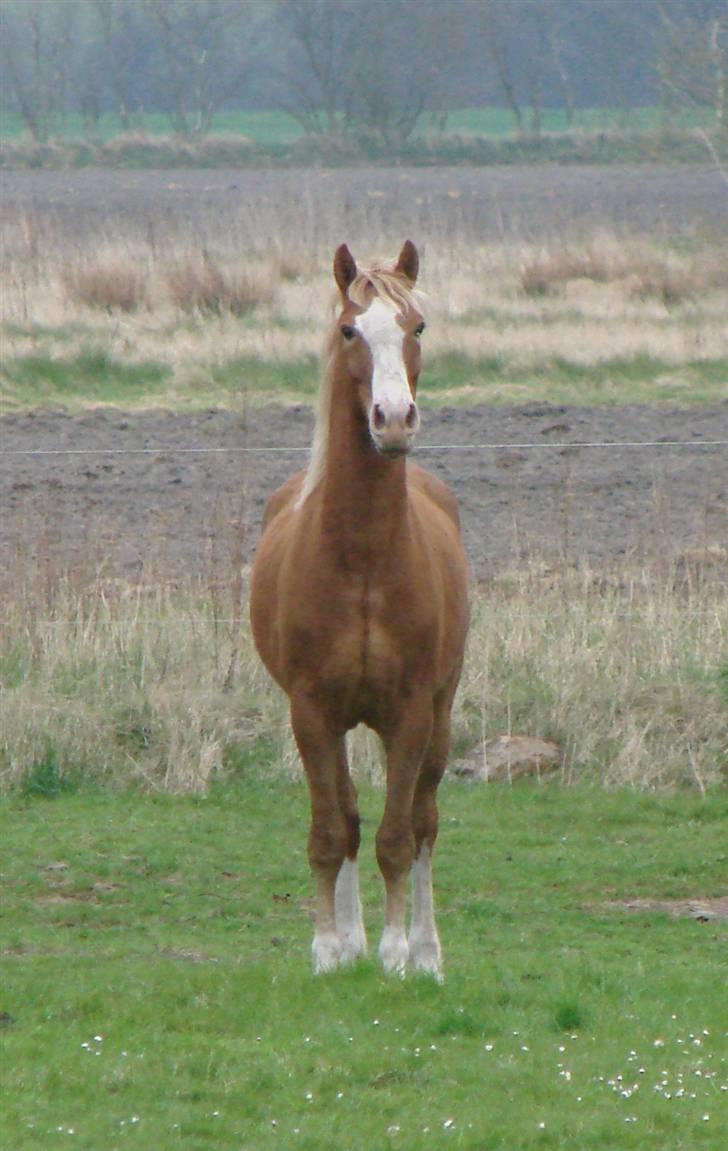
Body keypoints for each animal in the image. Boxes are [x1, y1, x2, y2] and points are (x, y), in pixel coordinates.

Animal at [247, 242, 469, 980]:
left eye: (417, 326)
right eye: (350, 330)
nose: (394, 419)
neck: (364, 562)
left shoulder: (410, 713)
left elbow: (399, 836)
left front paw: (397, 953)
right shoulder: (312, 712)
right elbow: (330, 829)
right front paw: (330, 947)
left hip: (441, 715)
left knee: (425, 821)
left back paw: (426, 950)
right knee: (345, 816)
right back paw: (350, 938)